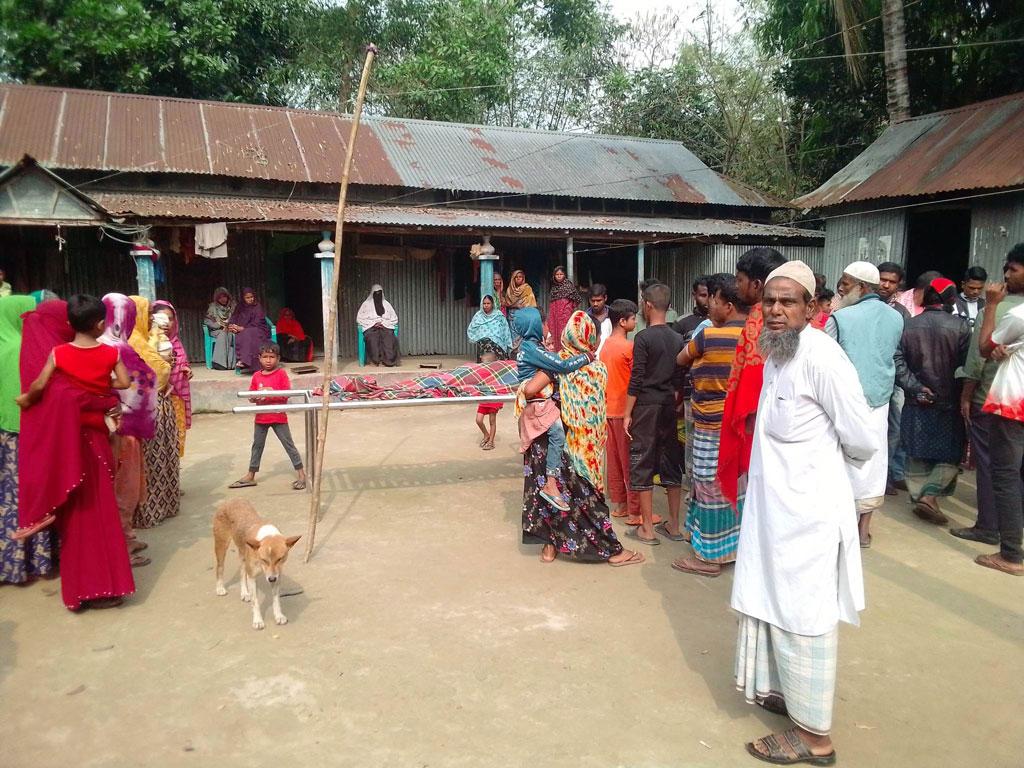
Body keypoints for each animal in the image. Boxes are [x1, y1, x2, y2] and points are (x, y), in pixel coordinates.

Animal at [211, 499, 299, 630]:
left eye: (280, 559)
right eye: (264, 559)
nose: (271, 579)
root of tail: (230, 500)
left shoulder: (276, 576)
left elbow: (276, 600)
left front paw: (278, 615)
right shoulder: (253, 577)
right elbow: (255, 601)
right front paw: (257, 620)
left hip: (243, 554)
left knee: (242, 572)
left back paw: (244, 592)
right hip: (221, 545)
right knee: (220, 568)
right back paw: (220, 588)